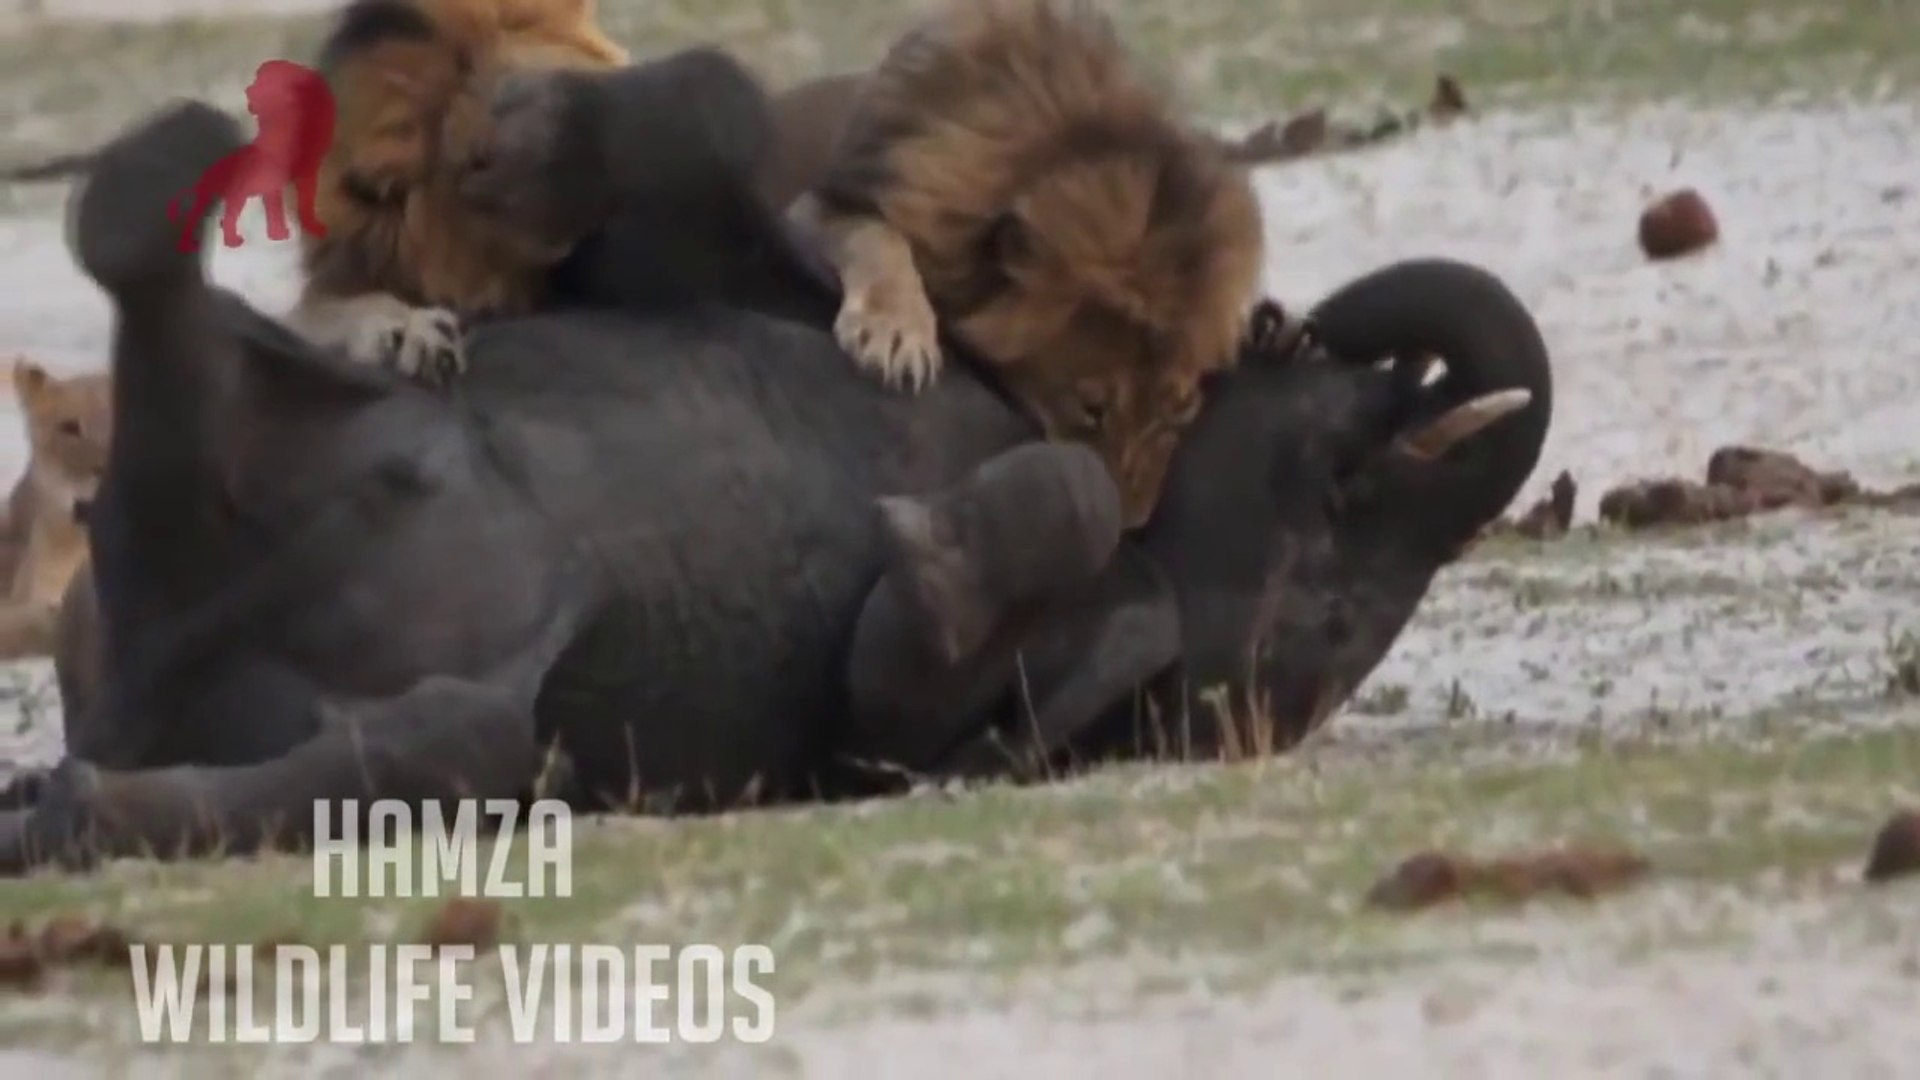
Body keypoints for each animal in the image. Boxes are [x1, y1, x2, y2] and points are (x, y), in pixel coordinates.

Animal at [797, 0, 1266, 526]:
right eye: (1091, 408)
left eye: (1179, 411)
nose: (1129, 527)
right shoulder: (819, 206)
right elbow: (878, 237)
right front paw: (895, 334)